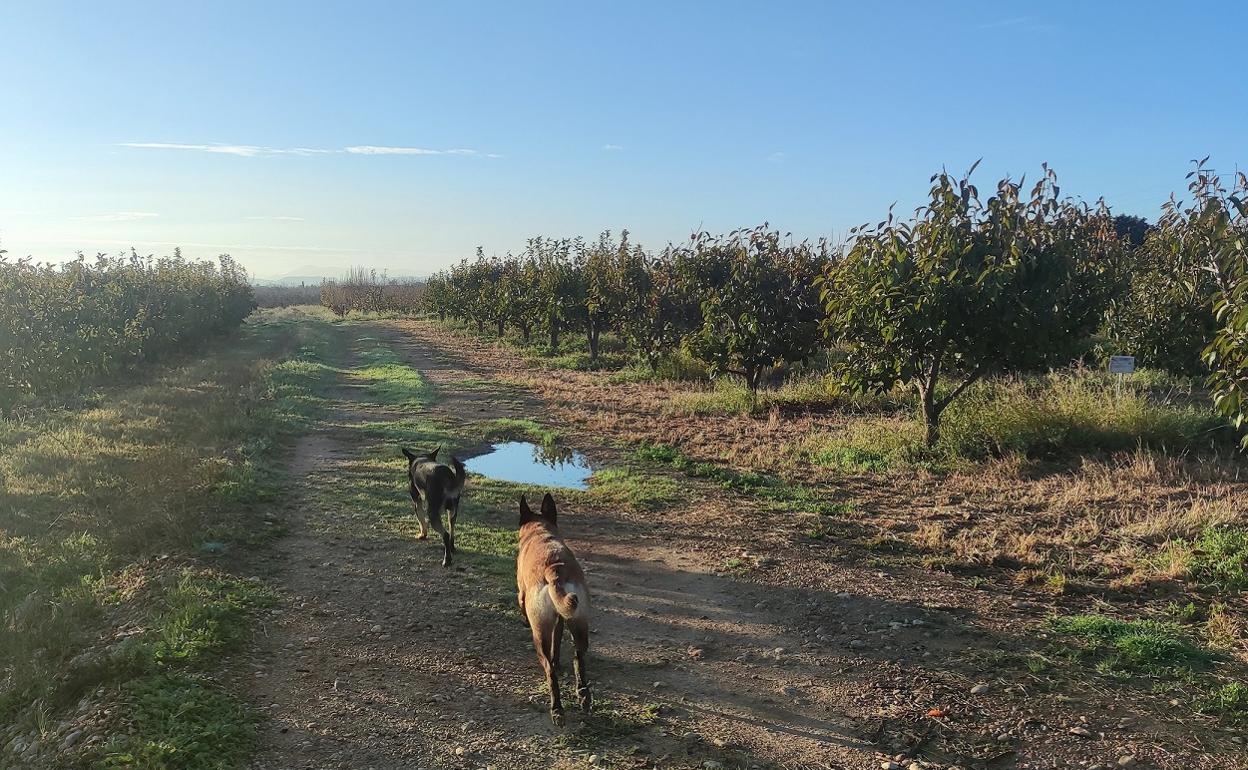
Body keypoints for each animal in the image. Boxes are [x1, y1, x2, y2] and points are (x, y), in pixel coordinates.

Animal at [516, 496, 594, 723]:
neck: (540, 530)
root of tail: (554, 570)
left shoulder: (521, 594)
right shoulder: (560, 619)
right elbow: (557, 642)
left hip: (539, 632)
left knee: (549, 671)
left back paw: (557, 709)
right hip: (578, 621)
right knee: (579, 656)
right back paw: (583, 694)